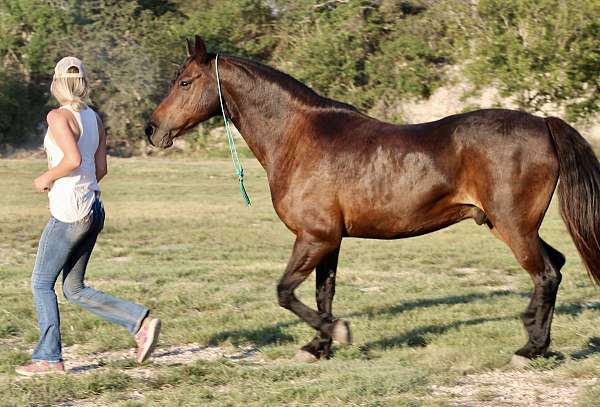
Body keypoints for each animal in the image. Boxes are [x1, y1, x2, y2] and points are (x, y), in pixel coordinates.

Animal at [145, 35, 600, 364]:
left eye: (185, 82)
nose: (152, 130)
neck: (298, 137)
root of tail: (542, 124)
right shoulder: (328, 241)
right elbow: (322, 294)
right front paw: (318, 346)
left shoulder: (314, 238)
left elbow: (285, 292)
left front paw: (336, 333)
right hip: (514, 225)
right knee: (555, 266)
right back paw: (539, 341)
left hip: (513, 226)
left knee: (546, 275)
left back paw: (529, 348)